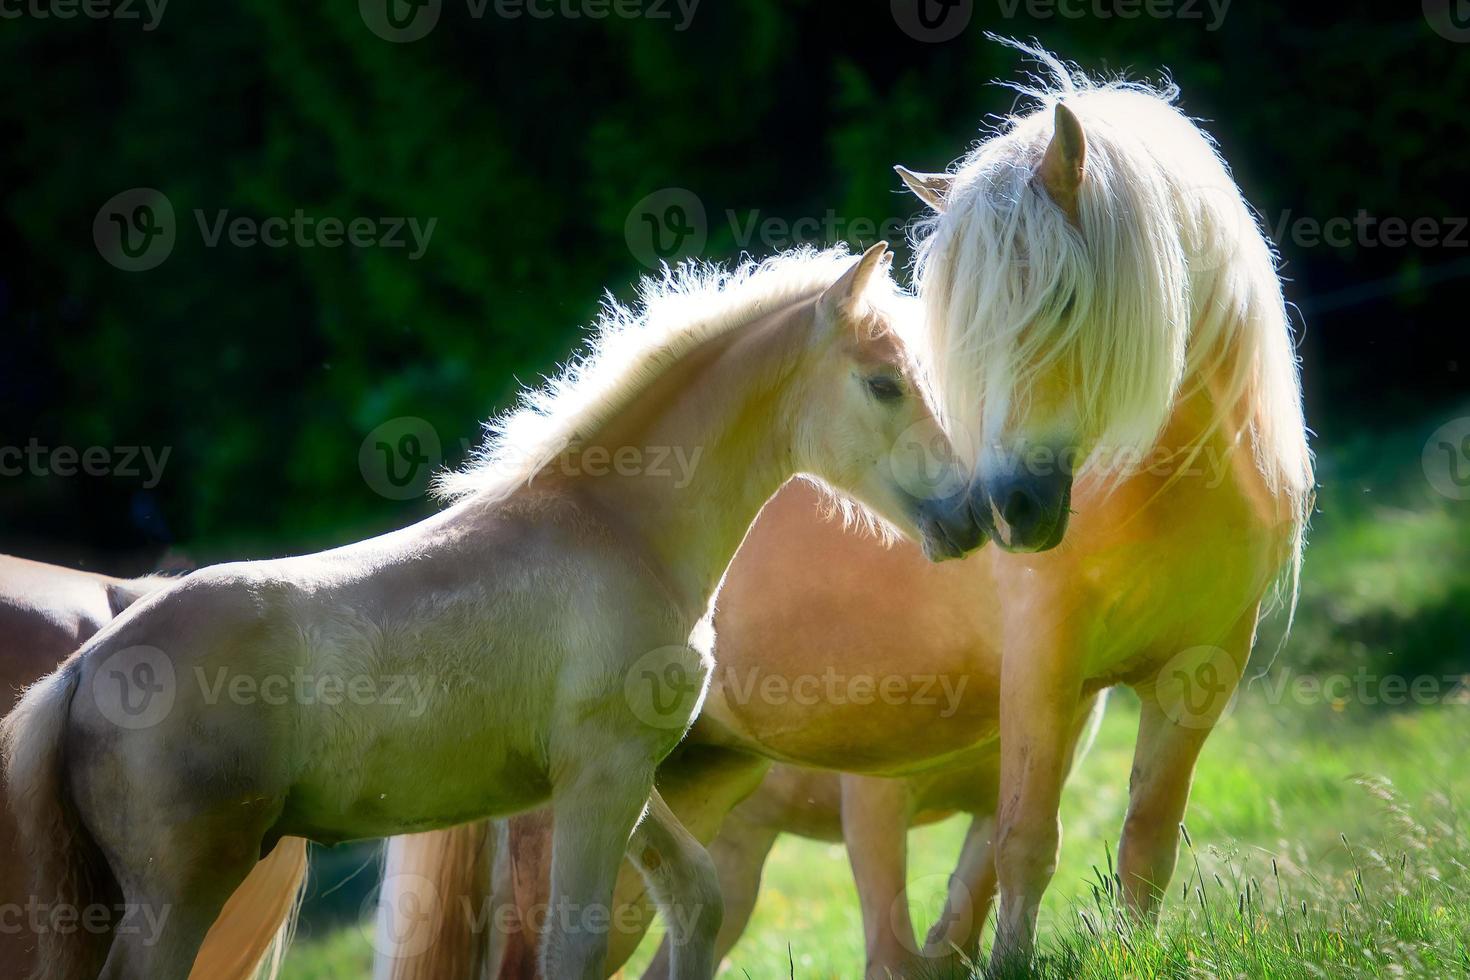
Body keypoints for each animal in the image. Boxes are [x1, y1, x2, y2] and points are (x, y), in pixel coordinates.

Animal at [2, 243, 987, 980]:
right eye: (885, 383)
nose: (970, 516)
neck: (616, 530)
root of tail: (85, 668)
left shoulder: (623, 775)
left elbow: (696, 901)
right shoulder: (601, 774)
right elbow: (576, 949)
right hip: (184, 894)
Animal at [376, 44, 1311, 975]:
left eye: (1065, 303)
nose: (1010, 508)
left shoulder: (1201, 671)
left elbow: (1141, 847)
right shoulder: (1038, 669)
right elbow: (1021, 849)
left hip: (688, 792)